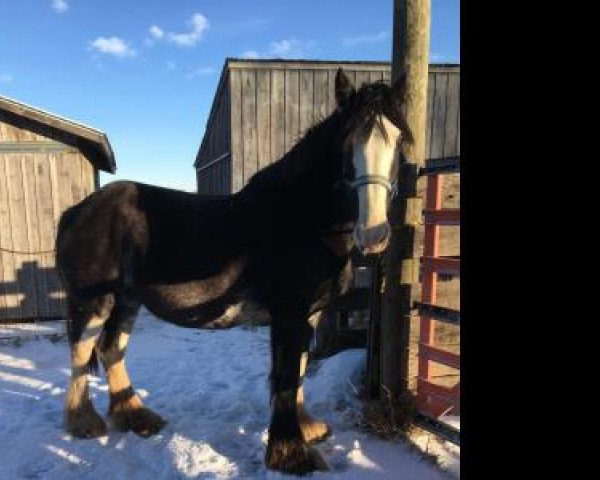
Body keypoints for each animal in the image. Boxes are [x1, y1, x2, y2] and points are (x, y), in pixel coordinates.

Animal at [56, 69, 412, 474]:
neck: (299, 218)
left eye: (399, 141)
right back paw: (84, 423)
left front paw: (307, 430)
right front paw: (291, 453)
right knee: (81, 352)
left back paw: (135, 416)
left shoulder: (308, 314)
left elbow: (299, 371)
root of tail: (76, 211)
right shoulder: (288, 315)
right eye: (346, 143)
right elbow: (286, 378)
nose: (374, 234)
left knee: (111, 348)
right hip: (92, 301)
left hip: (127, 300)